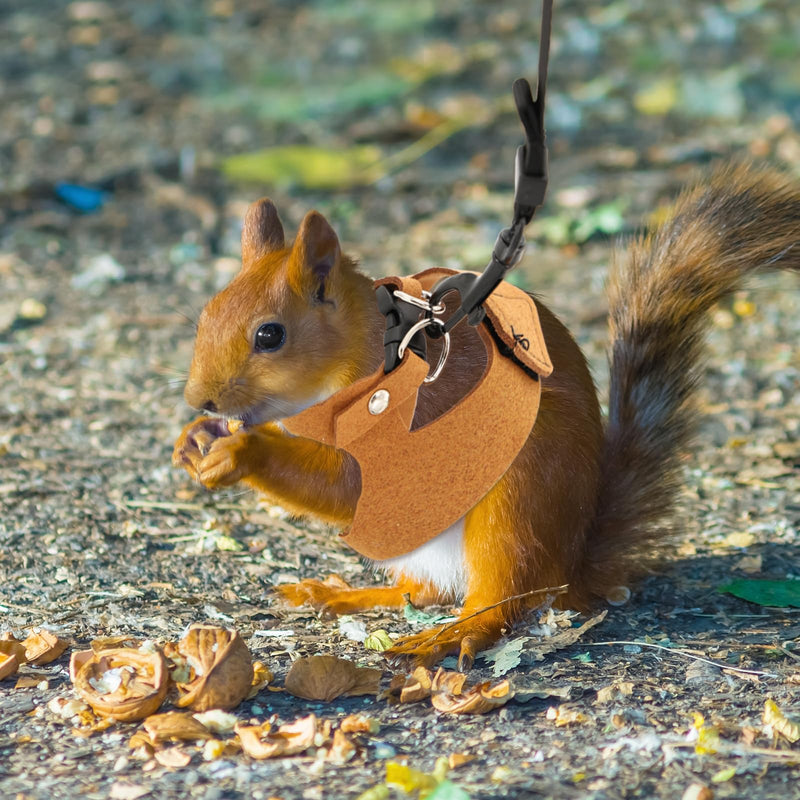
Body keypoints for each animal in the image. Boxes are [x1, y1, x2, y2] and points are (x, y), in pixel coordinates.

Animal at [173, 163, 800, 669]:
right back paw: (343, 594)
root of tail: (574, 561)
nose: (200, 399)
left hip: (515, 508)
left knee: (505, 598)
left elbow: (344, 484)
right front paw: (195, 441)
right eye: (206, 312)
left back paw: (454, 635)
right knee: (427, 591)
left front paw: (242, 450)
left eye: (269, 335)